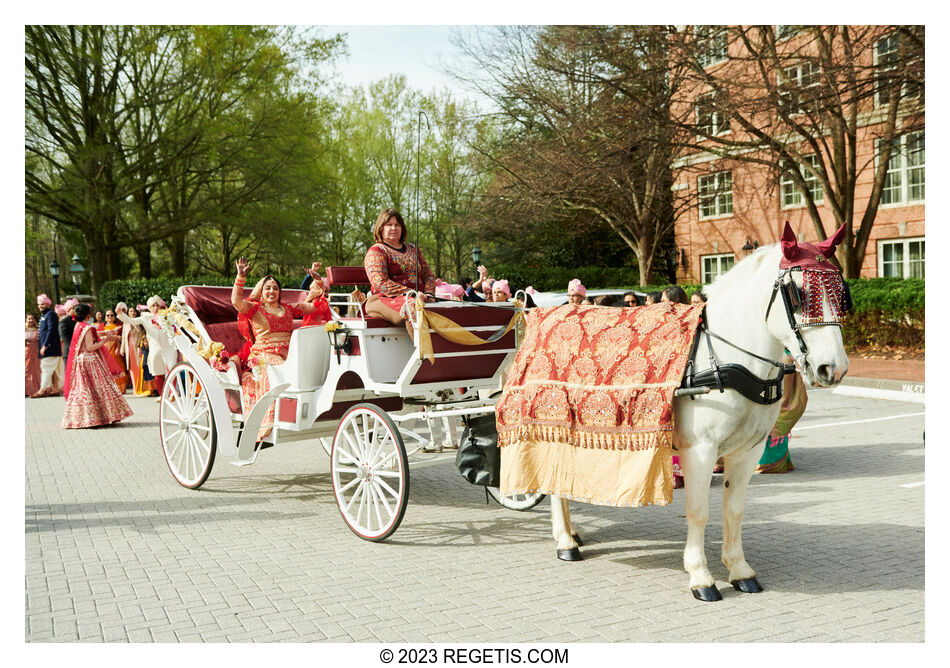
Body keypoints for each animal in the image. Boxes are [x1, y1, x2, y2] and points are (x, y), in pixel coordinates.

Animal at [548, 223, 852, 600]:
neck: (727, 359)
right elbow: (698, 511)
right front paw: (700, 575)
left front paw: (739, 569)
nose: (834, 368)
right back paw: (564, 541)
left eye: (841, 293)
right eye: (798, 293)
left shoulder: (747, 452)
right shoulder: (700, 450)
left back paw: (571, 534)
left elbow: (734, 510)